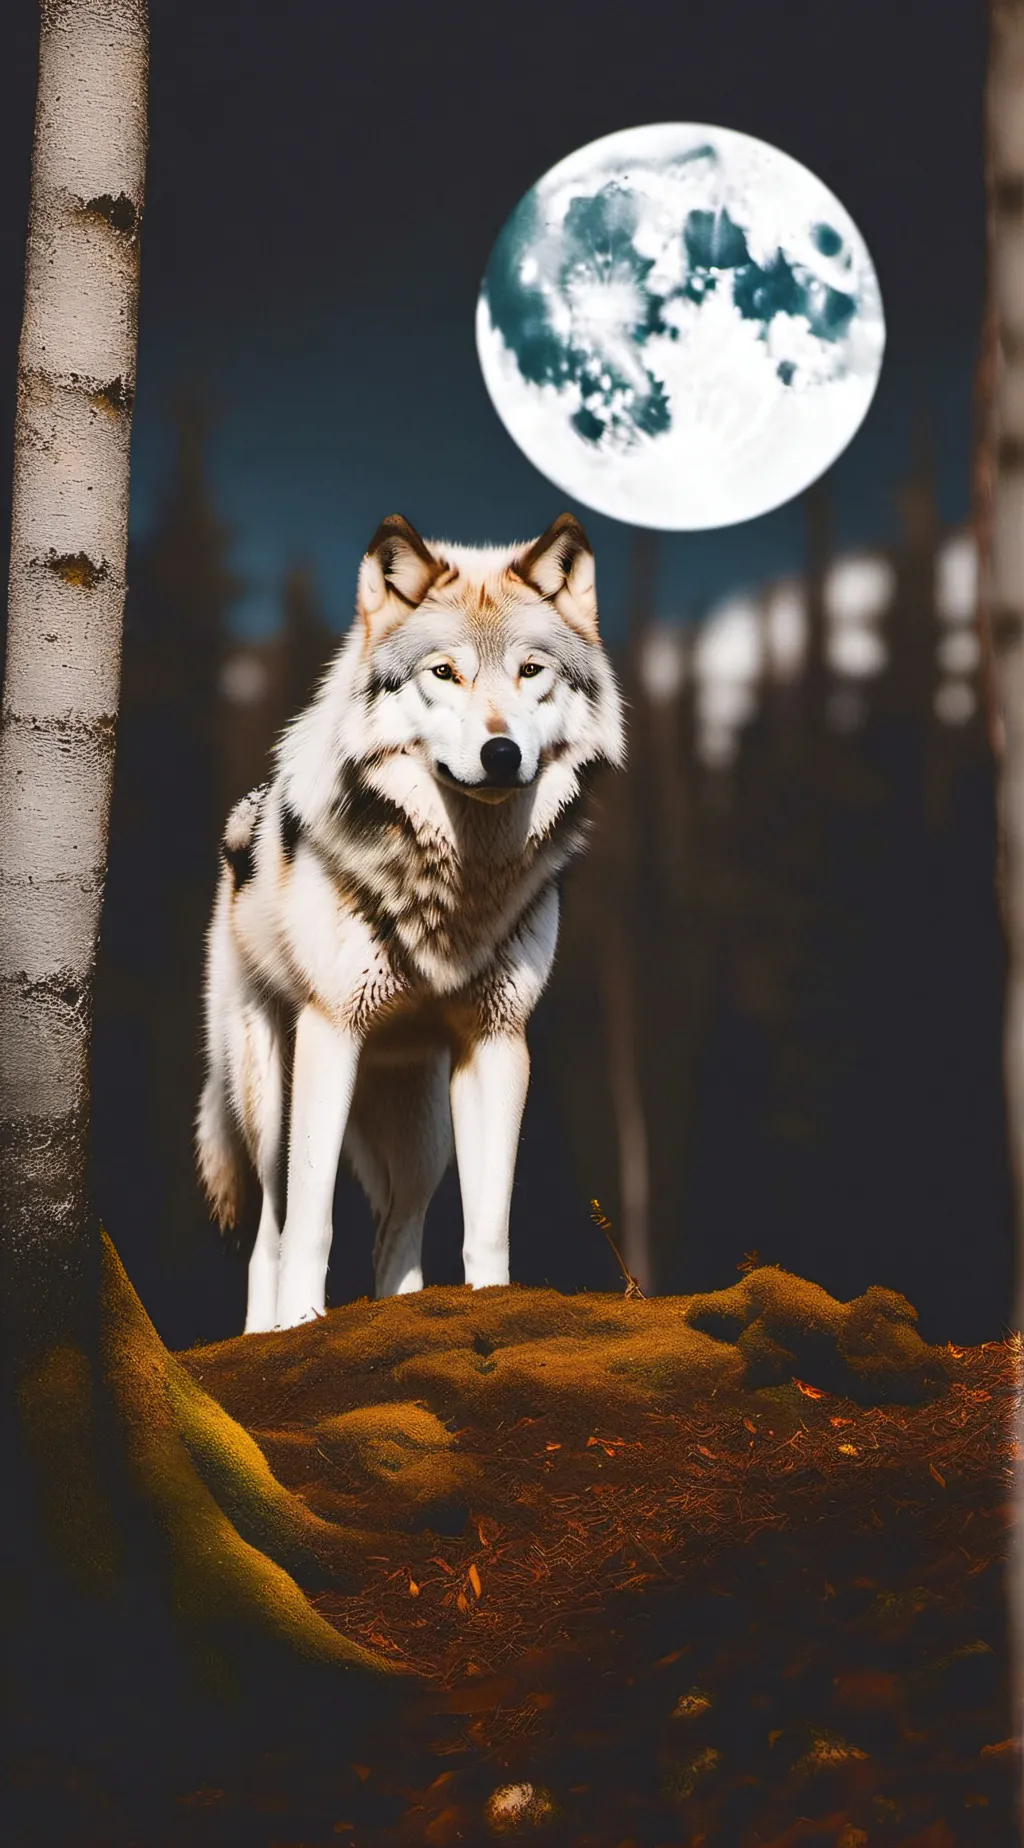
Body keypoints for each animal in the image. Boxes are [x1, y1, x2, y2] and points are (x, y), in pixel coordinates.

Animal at [195, 511, 624, 1332]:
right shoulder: (332, 1032)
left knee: (399, 1228)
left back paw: (403, 1311)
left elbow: (487, 1222)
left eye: (531, 672)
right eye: (444, 673)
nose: (501, 752)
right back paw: (265, 1332)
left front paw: (492, 1309)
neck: (456, 886)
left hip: (421, 1129)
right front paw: (304, 1327)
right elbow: (311, 1224)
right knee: (270, 1229)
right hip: (269, 1098)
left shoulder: (497, 1043)